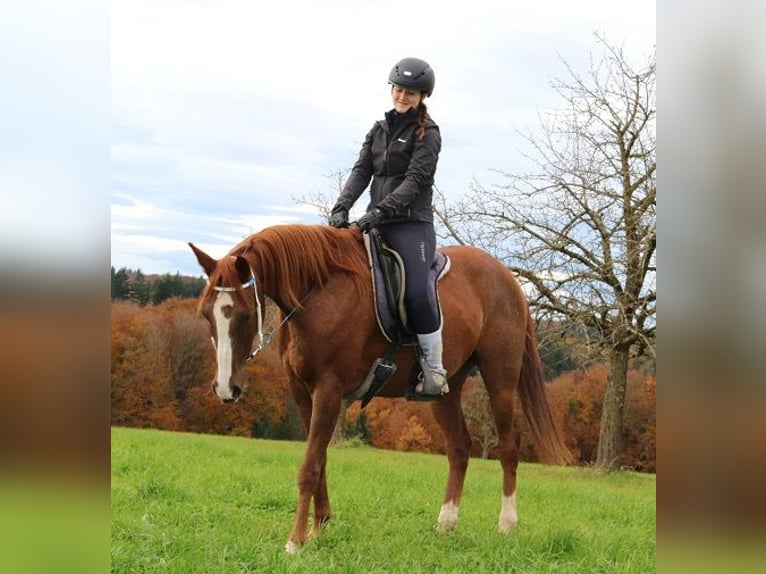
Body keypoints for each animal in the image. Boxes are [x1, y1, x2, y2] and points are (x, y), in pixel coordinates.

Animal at [189, 224, 570, 553]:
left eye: (241, 314)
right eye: (206, 314)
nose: (225, 388)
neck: (319, 295)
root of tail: (508, 278)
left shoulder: (329, 390)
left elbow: (310, 467)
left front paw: (295, 541)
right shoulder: (302, 393)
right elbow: (320, 459)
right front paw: (320, 526)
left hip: (500, 378)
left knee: (508, 446)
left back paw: (507, 523)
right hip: (446, 390)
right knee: (460, 447)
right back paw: (446, 522)